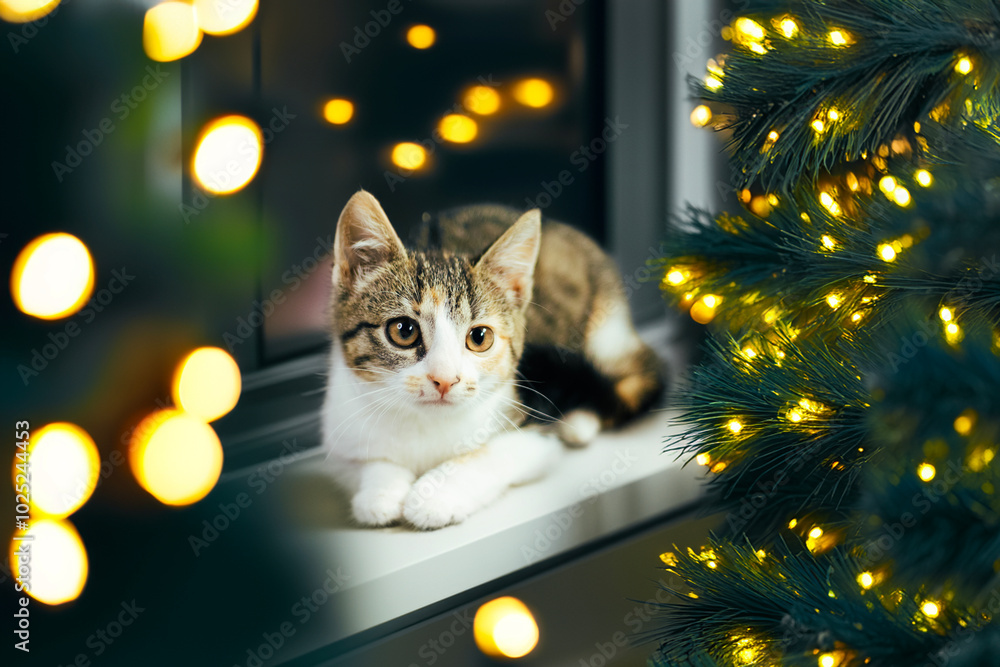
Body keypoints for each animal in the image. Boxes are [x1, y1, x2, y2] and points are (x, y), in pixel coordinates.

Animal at [320, 190, 664, 528]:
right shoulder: (339, 426)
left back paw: (579, 421)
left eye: (480, 338)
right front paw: (379, 492)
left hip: (605, 328)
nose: (444, 379)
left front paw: (434, 495)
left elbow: (492, 454)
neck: (424, 423)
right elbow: (362, 460)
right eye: (403, 331)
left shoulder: (534, 431)